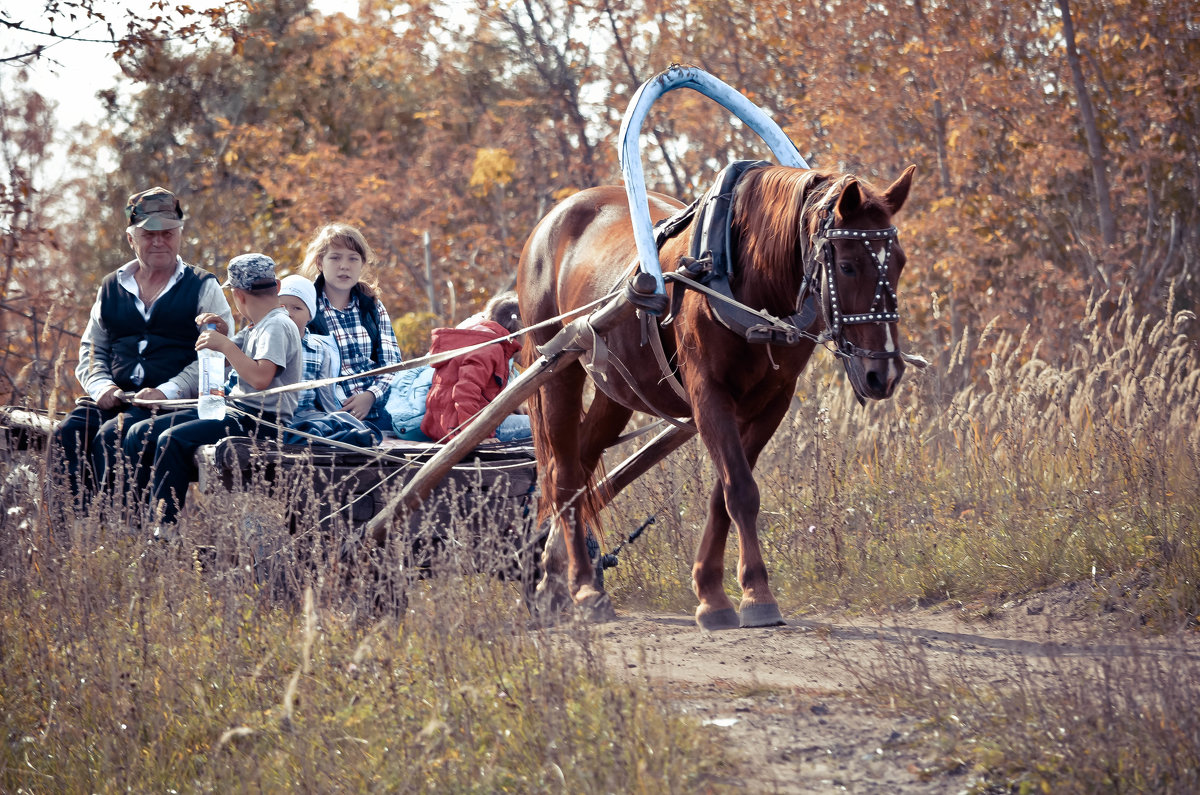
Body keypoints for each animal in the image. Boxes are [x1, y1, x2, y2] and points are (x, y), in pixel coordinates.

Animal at [518, 162, 916, 629]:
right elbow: (740, 489)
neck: (746, 282)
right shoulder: (708, 393)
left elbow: (724, 495)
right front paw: (755, 595)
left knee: (580, 466)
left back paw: (553, 576)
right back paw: (582, 586)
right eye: (850, 266)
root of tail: (552, 218)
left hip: (616, 388)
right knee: (563, 475)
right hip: (556, 368)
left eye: (900, 262)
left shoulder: (771, 402)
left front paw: (711, 589)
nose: (883, 372)